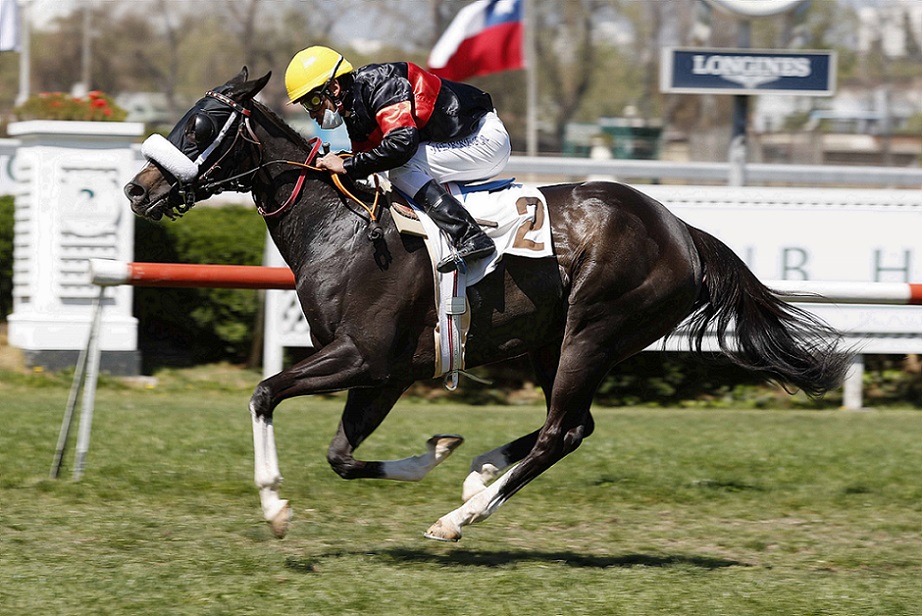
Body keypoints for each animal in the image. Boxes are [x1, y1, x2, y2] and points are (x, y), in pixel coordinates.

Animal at [124, 68, 852, 542]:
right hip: (554, 342)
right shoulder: (386, 372)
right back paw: (477, 479)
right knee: (576, 426)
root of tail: (681, 230)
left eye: (201, 123)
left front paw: (274, 506)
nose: (137, 189)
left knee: (561, 431)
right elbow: (341, 454)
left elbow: (265, 393)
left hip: (594, 330)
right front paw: (440, 451)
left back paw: (460, 517)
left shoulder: (362, 356)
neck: (343, 232)